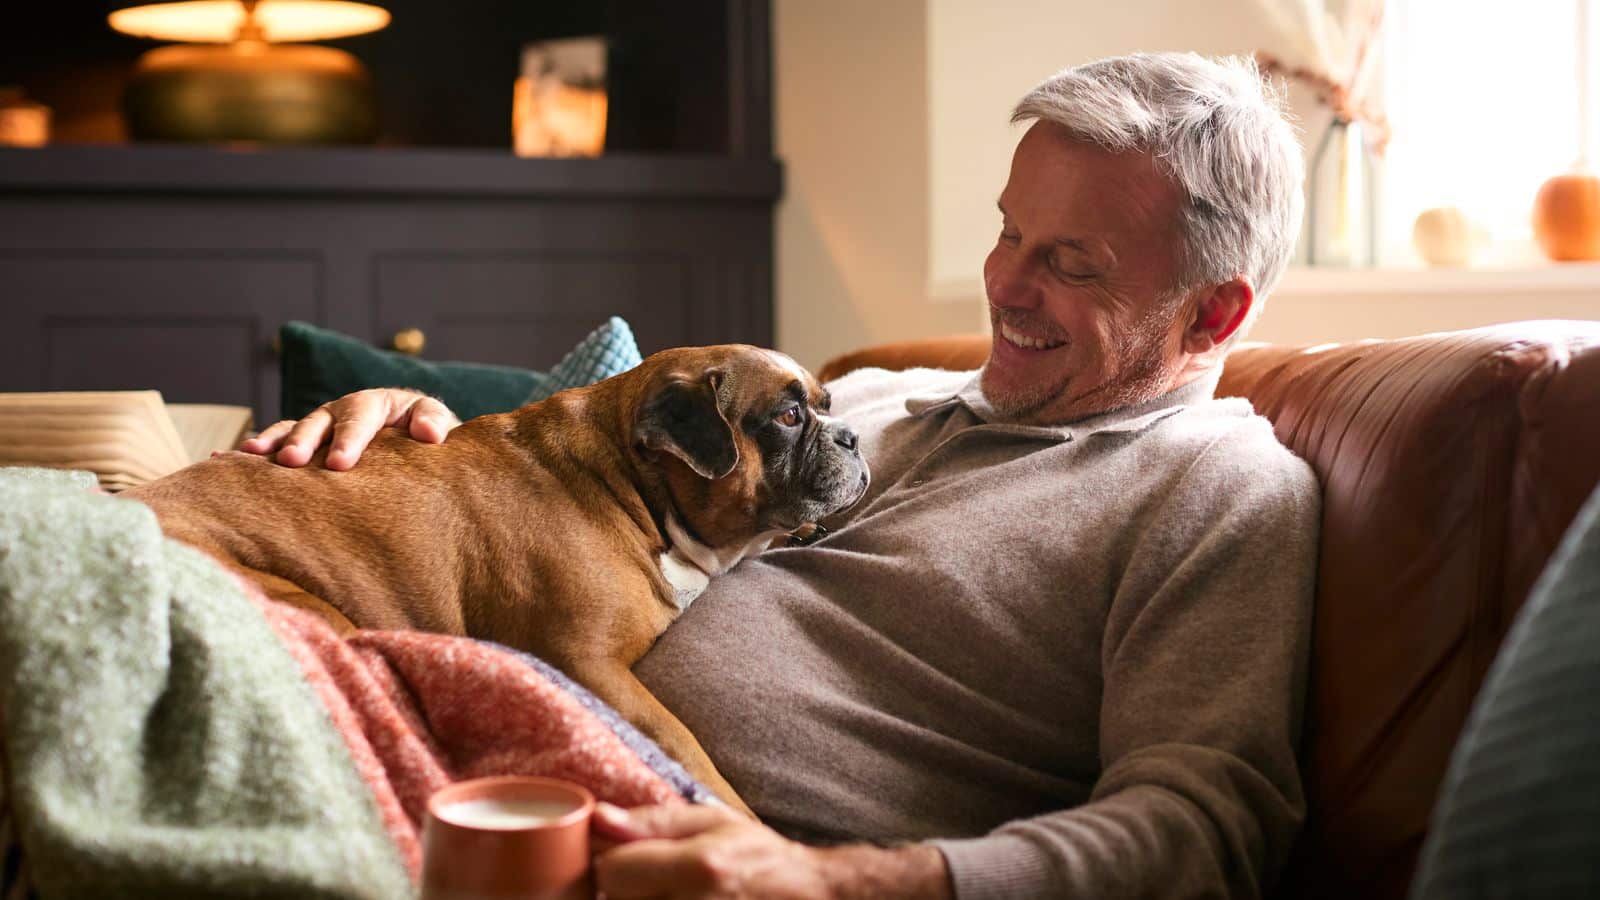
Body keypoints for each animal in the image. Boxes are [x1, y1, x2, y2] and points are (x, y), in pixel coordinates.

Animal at [126, 342, 870, 807]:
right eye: (788, 416)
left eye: (827, 404)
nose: (852, 437)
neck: (633, 482)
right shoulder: (587, 665)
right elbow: (685, 748)